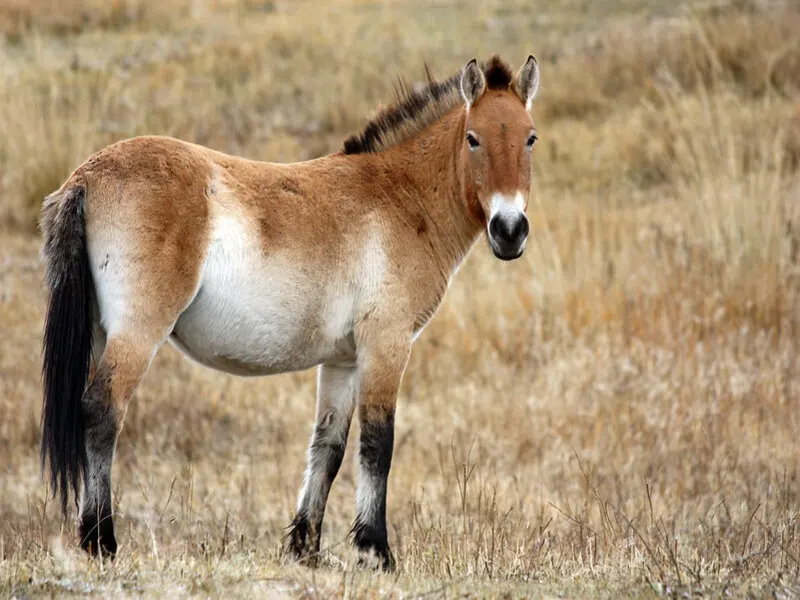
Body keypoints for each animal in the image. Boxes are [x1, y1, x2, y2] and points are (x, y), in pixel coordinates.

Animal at [40, 56, 544, 572]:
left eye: (530, 138)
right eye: (473, 138)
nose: (509, 231)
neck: (401, 198)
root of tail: (86, 177)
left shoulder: (343, 361)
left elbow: (329, 447)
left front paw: (305, 548)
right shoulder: (386, 346)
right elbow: (377, 444)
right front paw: (376, 551)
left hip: (100, 332)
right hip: (137, 333)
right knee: (102, 411)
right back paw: (101, 541)